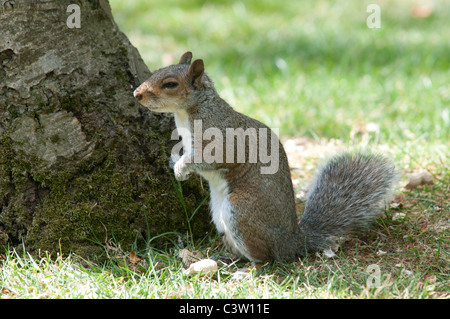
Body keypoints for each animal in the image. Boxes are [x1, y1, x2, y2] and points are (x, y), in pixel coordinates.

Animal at [134, 52, 398, 266]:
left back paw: (248, 270)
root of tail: (293, 242)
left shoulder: (221, 141)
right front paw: (173, 160)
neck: (189, 112)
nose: (136, 94)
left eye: (170, 84)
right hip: (221, 220)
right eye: (156, 71)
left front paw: (180, 168)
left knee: (266, 259)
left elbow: (208, 159)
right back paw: (229, 259)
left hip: (242, 211)